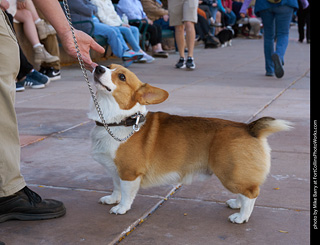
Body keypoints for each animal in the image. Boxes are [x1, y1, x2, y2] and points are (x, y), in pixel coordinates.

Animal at [88, 63, 292, 224]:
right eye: (109, 66)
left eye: (122, 76)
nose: (98, 67)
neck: (118, 121)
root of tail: (249, 127)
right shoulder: (115, 170)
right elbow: (116, 187)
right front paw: (112, 199)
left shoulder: (129, 172)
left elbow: (126, 194)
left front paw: (121, 208)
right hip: (235, 173)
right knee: (245, 192)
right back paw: (236, 204)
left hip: (229, 173)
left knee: (251, 193)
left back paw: (241, 217)